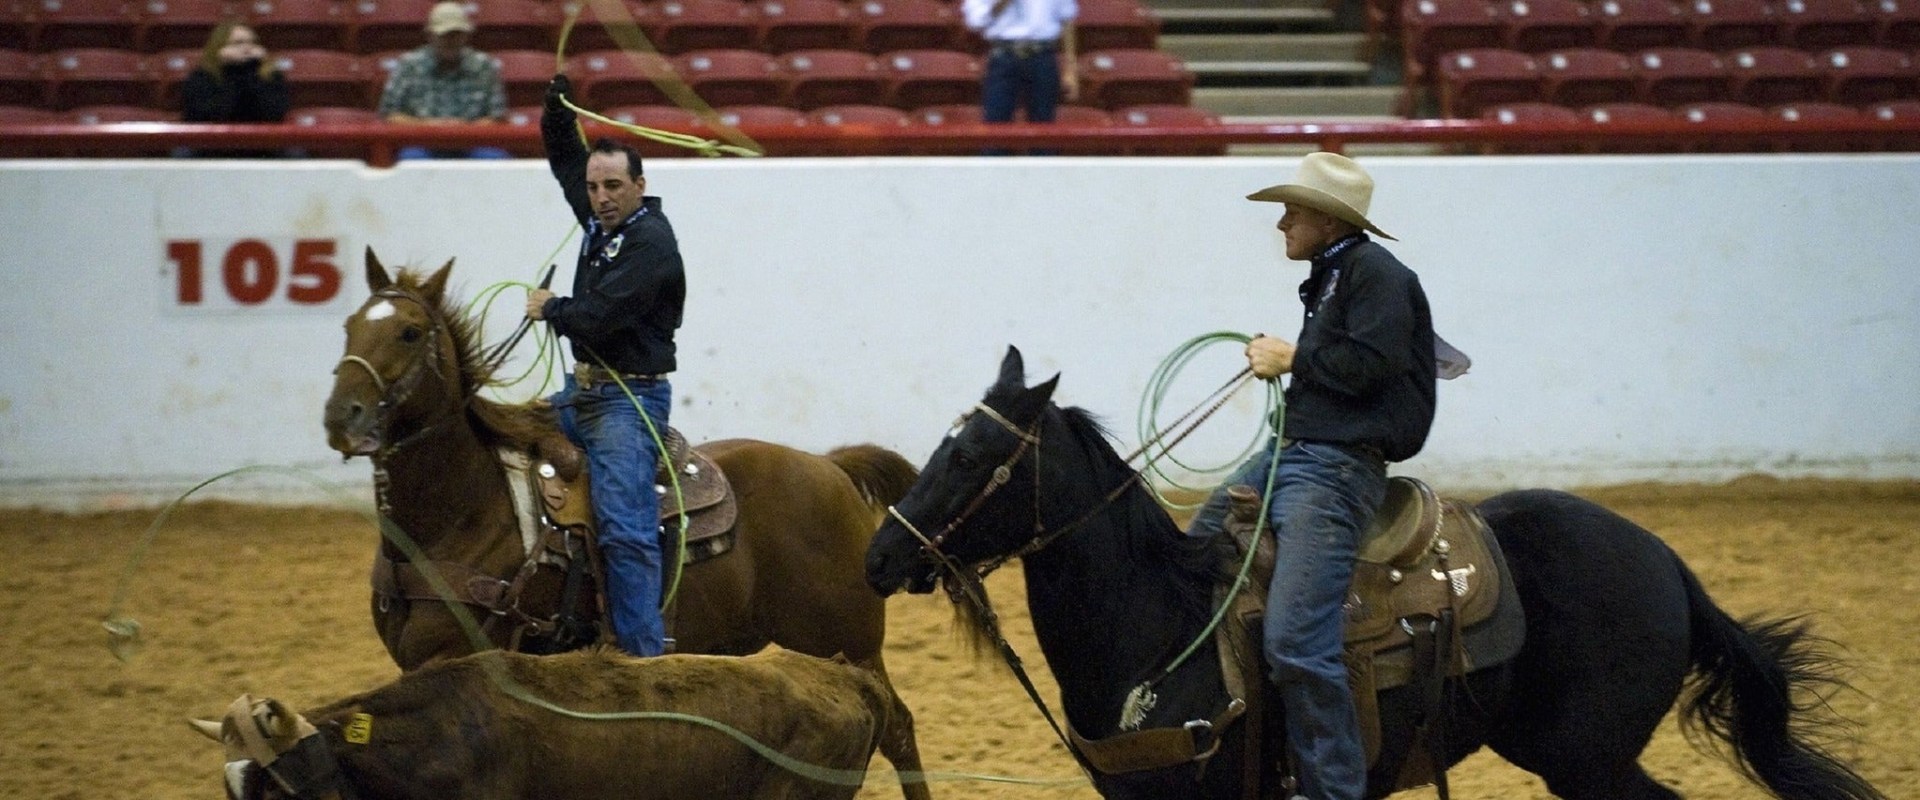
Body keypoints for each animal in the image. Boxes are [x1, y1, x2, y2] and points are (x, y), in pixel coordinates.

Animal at [320, 251, 929, 798]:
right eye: (349, 326)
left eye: (409, 332)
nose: (340, 416)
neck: (464, 510)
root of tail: (830, 466)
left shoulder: (458, 655)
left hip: (848, 638)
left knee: (898, 727)